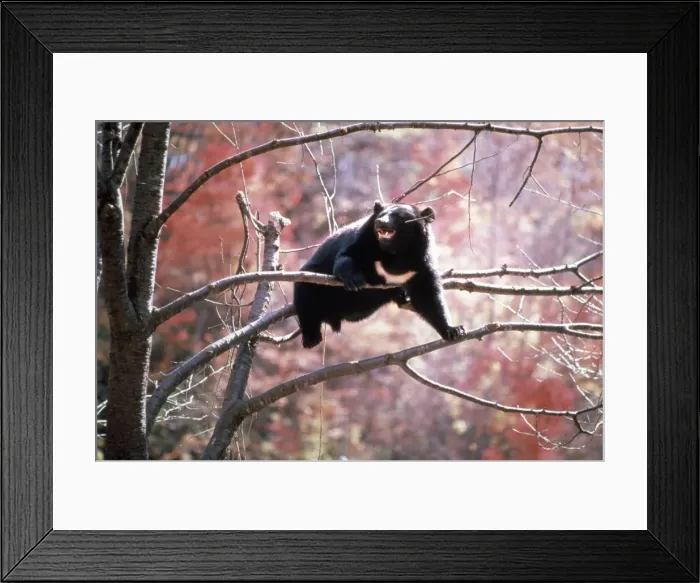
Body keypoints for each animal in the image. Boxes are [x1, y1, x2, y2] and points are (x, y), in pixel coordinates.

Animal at [293, 200, 465, 349]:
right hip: (315, 279)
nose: (380, 222)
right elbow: (346, 256)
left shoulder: (421, 265)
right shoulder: (364, 240)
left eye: (399, 216)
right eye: (382, 214)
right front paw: (355, 281)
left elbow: (428, 298)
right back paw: (311, 338)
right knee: (306, 295)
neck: (395, 253)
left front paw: (454, 330)